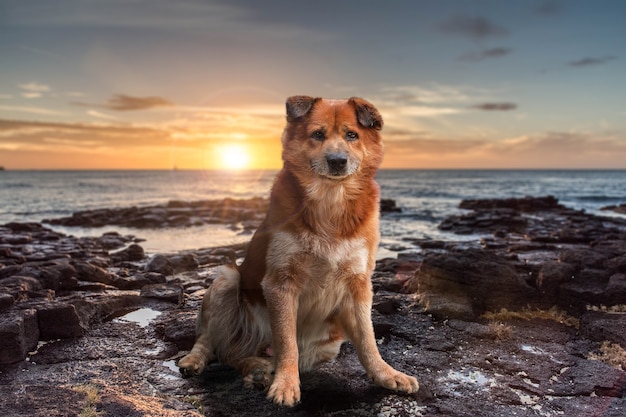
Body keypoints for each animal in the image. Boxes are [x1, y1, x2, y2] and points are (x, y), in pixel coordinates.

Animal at [178, 96, 416, 404]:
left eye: (352, 135)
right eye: (318, 134)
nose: (337, 161)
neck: (330, 200)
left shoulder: (358, 285)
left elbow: (367, 339)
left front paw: (385, 374)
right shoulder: (280, 283)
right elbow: (286, 340)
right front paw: (286, 384)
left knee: (237, 356)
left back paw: (257, 371)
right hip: (226, 281)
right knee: (212, 343)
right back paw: (198, 361)